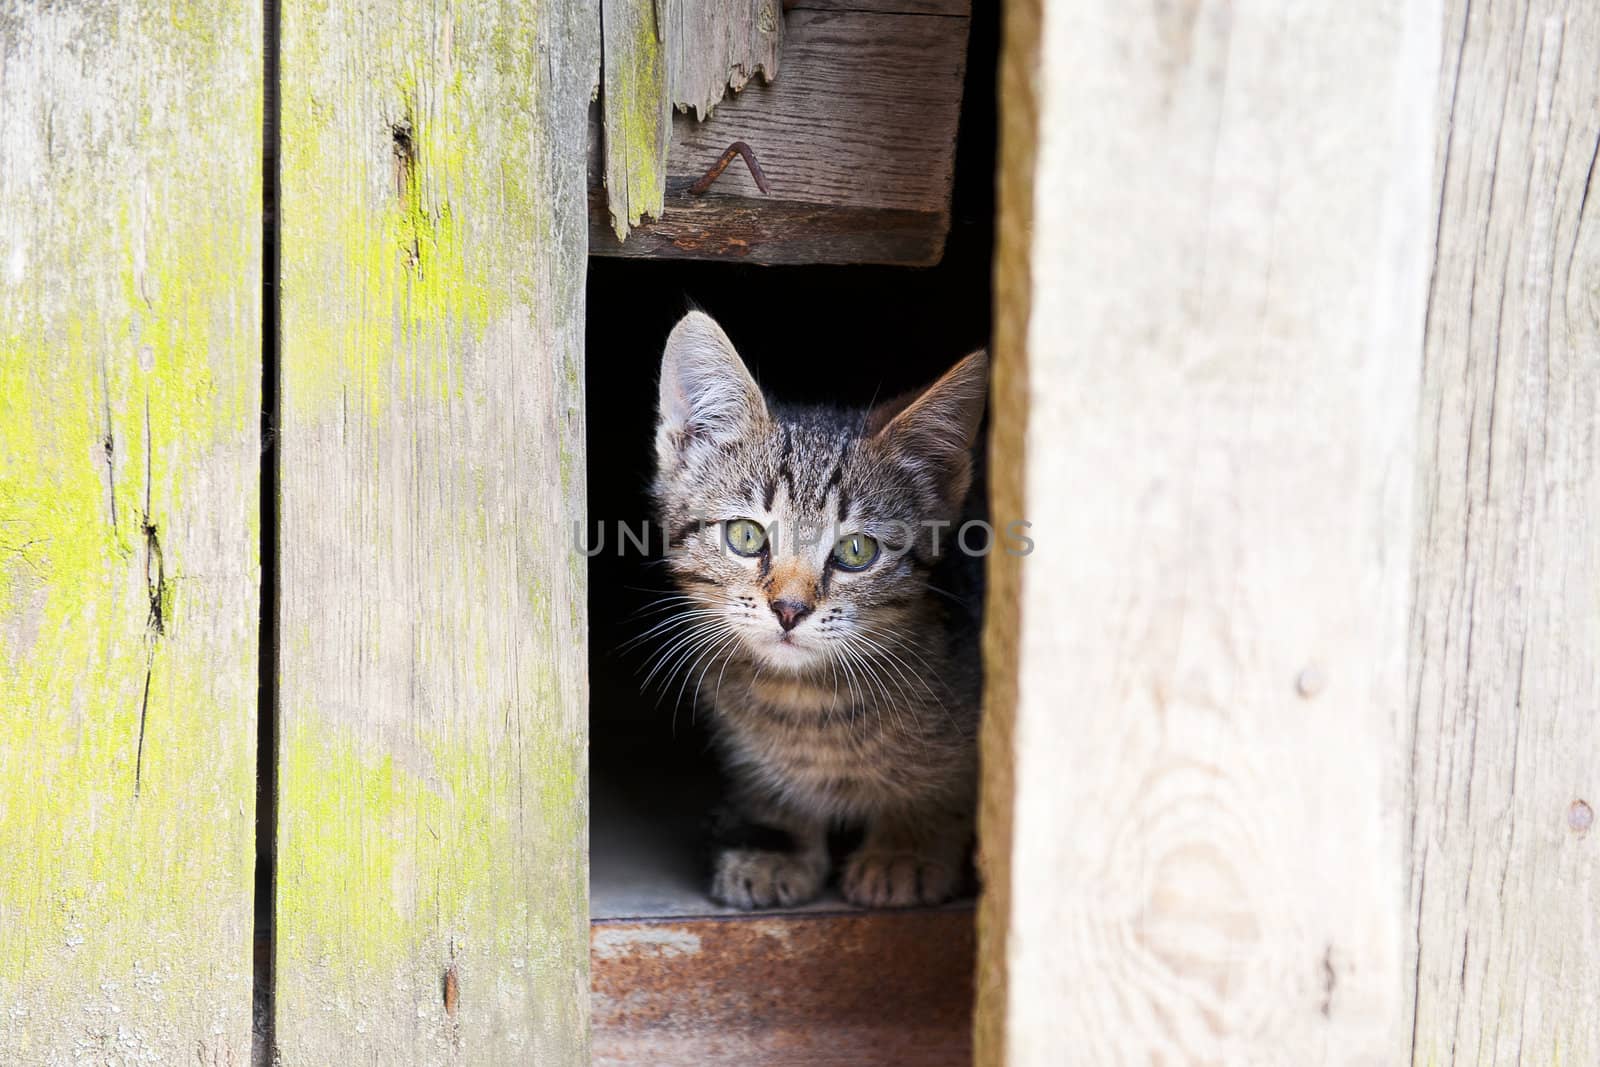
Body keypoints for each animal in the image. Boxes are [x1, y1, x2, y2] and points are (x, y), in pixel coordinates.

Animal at [649, 308, 985, 908]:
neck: (804, 702)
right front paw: (774, 842)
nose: (788, 608)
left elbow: (947, 784)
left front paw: (905, 849)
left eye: (857, 551)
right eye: (745, 536)